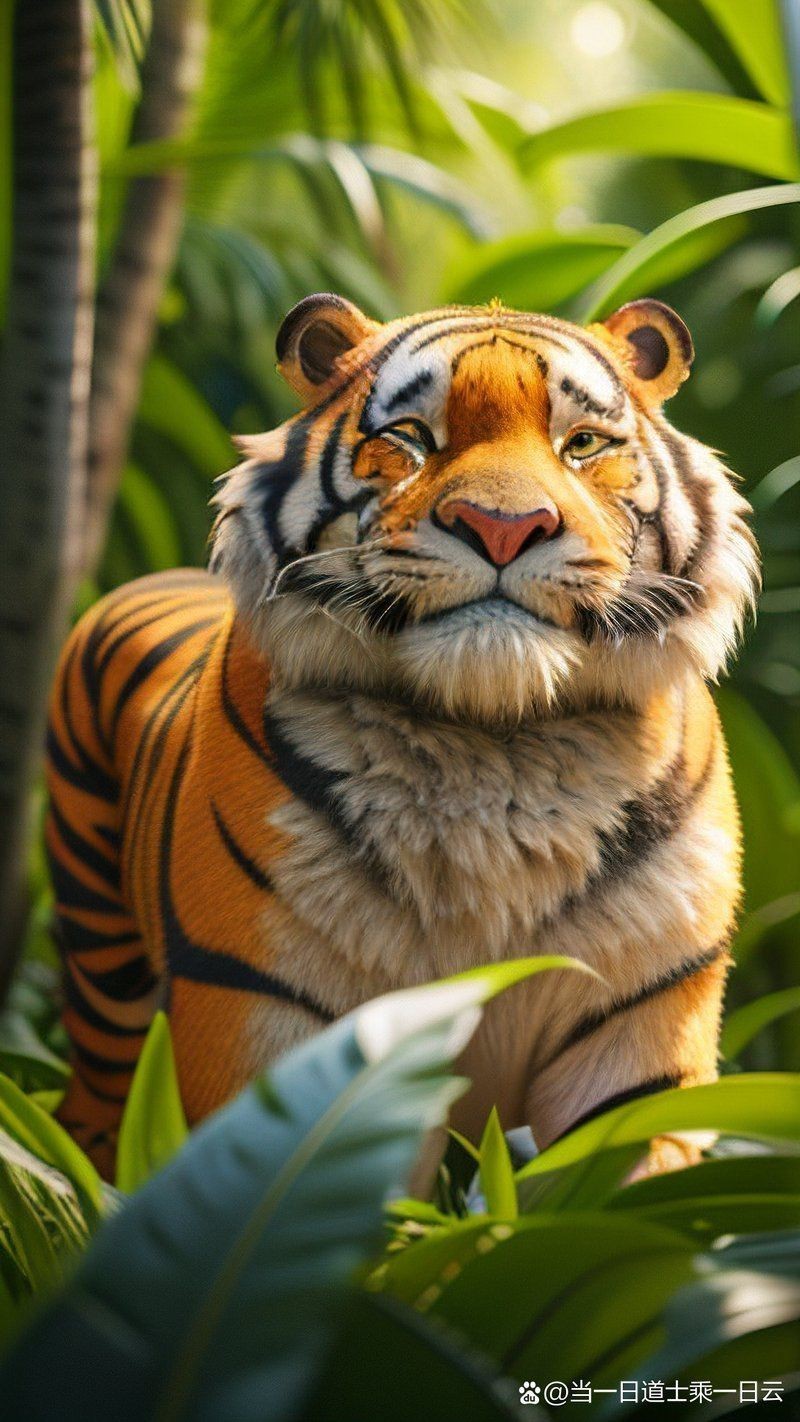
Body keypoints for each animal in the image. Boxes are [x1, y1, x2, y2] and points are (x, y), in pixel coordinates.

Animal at [45, 293, 759, 1181]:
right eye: (414, 436)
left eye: (584, 443)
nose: (503, 526)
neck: (493, 749)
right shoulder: (265, 1028)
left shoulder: (642, 1045)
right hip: (104, 974)